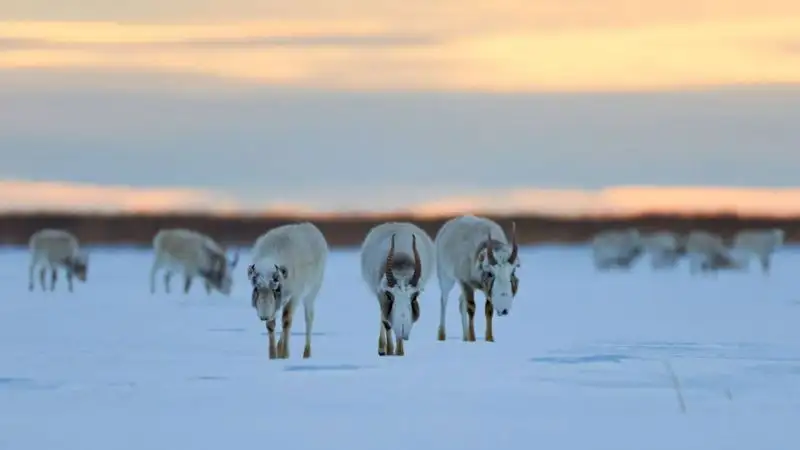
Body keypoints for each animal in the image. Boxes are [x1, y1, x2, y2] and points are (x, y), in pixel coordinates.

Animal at [247, 223, 328, 360]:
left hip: (312, 291)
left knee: (309, 317)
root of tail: (311, 226)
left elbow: (287, 320)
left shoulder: (295, 295)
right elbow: (271, 325)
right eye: (256, 288)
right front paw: (273, 355)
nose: (263, 316)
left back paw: (306, 353)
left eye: (276, 287)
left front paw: (285, 354)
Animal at [362, 221, 438, 356]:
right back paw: (382, 349)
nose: (402, 328)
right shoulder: (382, 295)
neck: (401, 262)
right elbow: (386, 321)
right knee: (383, 319)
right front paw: (389, 350)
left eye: (414, 296)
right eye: (390, 295)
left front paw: (399, 351)